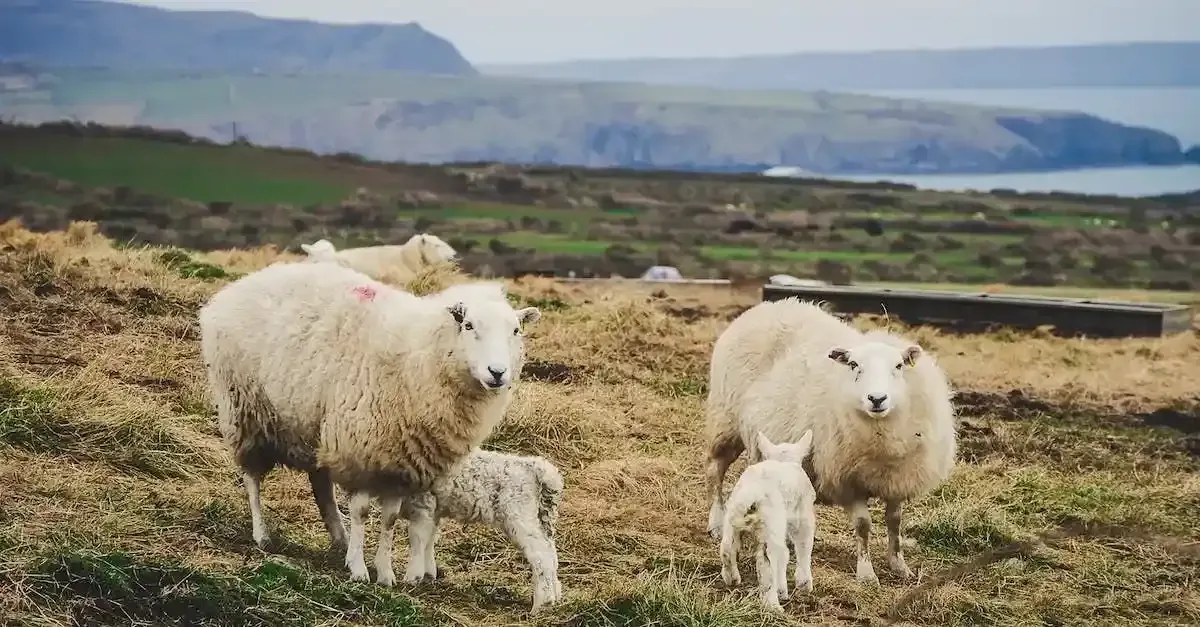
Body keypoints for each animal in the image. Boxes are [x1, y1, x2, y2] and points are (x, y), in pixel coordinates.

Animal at [197, 261, 541, 569]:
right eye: (469, 326)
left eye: (516, 330)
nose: (497, 373)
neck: (421, 355)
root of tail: (234, 289)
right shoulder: (360, 449)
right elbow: (362, 511)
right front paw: (359, 569)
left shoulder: (398, 463)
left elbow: (389, 519)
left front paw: (383, 570)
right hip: (245, 410)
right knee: (252, 477)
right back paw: (263, 535)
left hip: (316, 426)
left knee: (320, 483)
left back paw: (339, 538)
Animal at [369, 448, 564, 610]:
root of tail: (537, 468)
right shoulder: (434, 511)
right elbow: (429, 540)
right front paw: (428, 574)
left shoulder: (423, 506)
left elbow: (417, 539)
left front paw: (412, 577)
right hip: (543, 518)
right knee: (551, 554)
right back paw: (554, 597)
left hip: (520, 515)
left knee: (541, 556)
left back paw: (542, 602)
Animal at [703, 298, 956, 584]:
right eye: (854, 365)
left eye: (899, 366)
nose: (877, 399)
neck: (882, 436)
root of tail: (765, 307)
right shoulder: (848, 480)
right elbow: (863, 526)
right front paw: (866, 573)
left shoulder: (897, 479)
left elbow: (895, 522)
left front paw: (899, 565)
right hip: (725, 421)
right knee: (714, 470)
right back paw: (716, 522)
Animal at [720, 430, 816, 611]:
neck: (783, 459)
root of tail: (752, 492)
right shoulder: (803, 517)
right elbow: (804, 546)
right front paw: (804, 584)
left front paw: (783, 589)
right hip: (771, 524)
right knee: (768, 561)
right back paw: (773, 606)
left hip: (732, 518)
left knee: (727, 548)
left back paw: (732, 578)